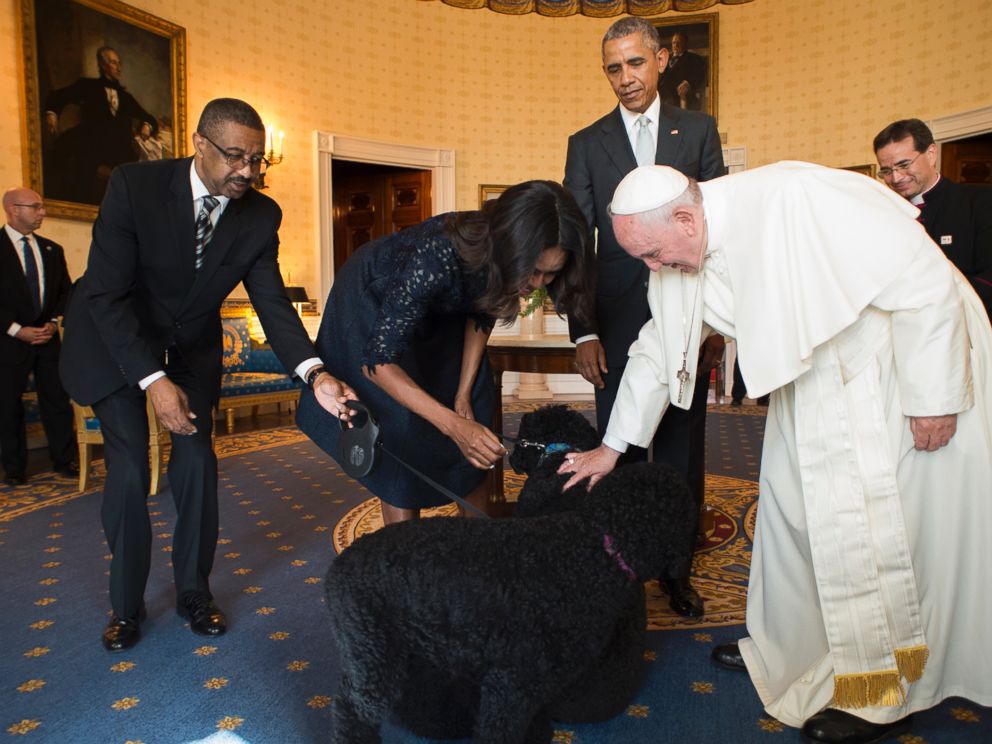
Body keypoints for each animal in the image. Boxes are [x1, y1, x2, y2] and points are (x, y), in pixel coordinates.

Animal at [324, 406, 688, 744]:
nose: (512, 454)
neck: (591, 544)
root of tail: (338, 568)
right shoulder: (512, 683)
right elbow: (499, 730)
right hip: (375, 652)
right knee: (353, 709)